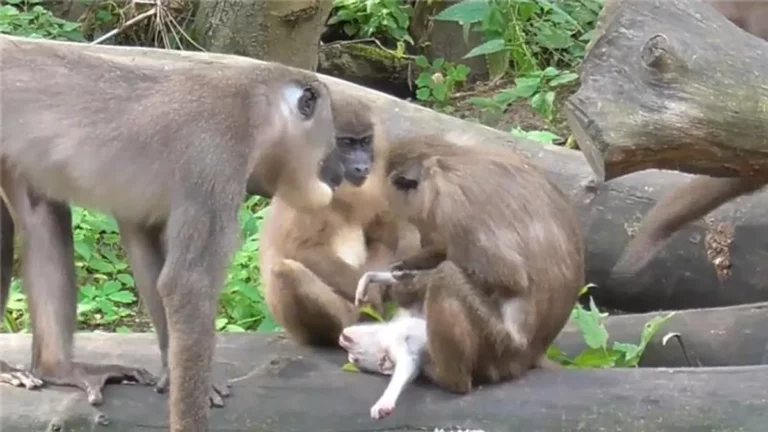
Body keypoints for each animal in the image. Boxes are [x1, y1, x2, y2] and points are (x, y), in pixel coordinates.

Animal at [0, 34, 344, 432]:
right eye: (331, 144)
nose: (339, 172)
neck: (258, 108)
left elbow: (145, 246)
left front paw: (179, 371)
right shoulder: (218, 161)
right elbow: (187, 284)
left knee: (41, 213)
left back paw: (57, 368)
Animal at [262, 96, 424, 346]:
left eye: (365, 142)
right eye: (346, 143)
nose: (362, 165)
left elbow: (383, 234)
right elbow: (302, 250)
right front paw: (373, 296)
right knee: (284, 271)